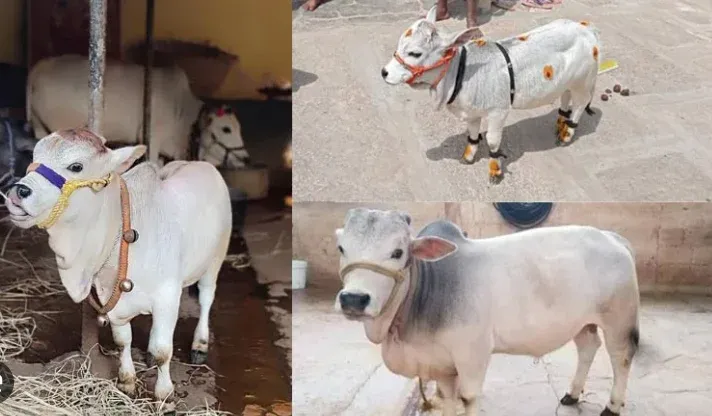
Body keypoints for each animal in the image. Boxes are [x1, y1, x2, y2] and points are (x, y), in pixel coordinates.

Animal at [4, 128, 232, 402]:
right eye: (34, 157)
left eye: (76, 166)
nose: (18, 191)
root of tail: (200, 164)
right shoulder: (112, 300)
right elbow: (123, 342)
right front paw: (127, 381)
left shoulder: (167, 296)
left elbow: (163, 350)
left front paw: (164, 395)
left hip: (216, 258)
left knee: (206, 299)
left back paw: (200, 343)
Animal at [26, 54, 251, 169]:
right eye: (226, 129)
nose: (246, 159)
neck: (182, 112)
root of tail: (39, 67)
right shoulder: (152, 139)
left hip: (39, 127)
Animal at [334, 208, 640, 416]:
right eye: (341, 248)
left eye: (397, 252)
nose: (353, 299)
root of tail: (612, 237)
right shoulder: (442, 365)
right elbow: (447, 399)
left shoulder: (473, 355)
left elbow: (467, 399)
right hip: (582, 322)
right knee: (588, 347)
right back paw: (572, 394)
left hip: (618, 319)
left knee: (621, 358)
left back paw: (612, 406)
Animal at [381, 8, 601, 182]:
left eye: (415, 53)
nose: (384, 72)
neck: (460, 74)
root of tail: (585, 28)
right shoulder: (470, 113)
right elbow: (472, 135)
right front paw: (468, 157)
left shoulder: (498, 112)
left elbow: (493, 141)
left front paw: (495, 172)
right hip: (567, 83)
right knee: (565, 98)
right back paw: (560, 124)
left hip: (583, 83)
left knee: (579, 106)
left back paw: (566, 134)